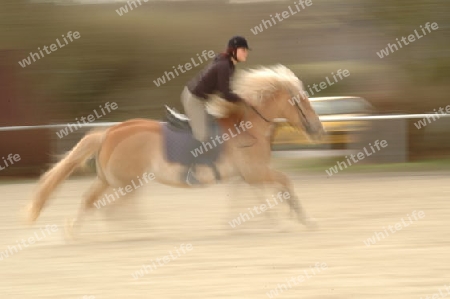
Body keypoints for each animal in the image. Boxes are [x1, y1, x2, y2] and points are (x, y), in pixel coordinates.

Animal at [24, 65, 326, 237]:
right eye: (299, 101)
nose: (318, 129)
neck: (248, 125)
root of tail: (109, 132)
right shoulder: (257, 172)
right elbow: (284, 184)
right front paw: (302, 220)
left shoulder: (247, 176)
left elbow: (254, 199)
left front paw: (250, 223)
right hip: (128, 183)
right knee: (111, 209)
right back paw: (136, 232)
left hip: (111, 181)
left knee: (92, 201)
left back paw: (77, 231)